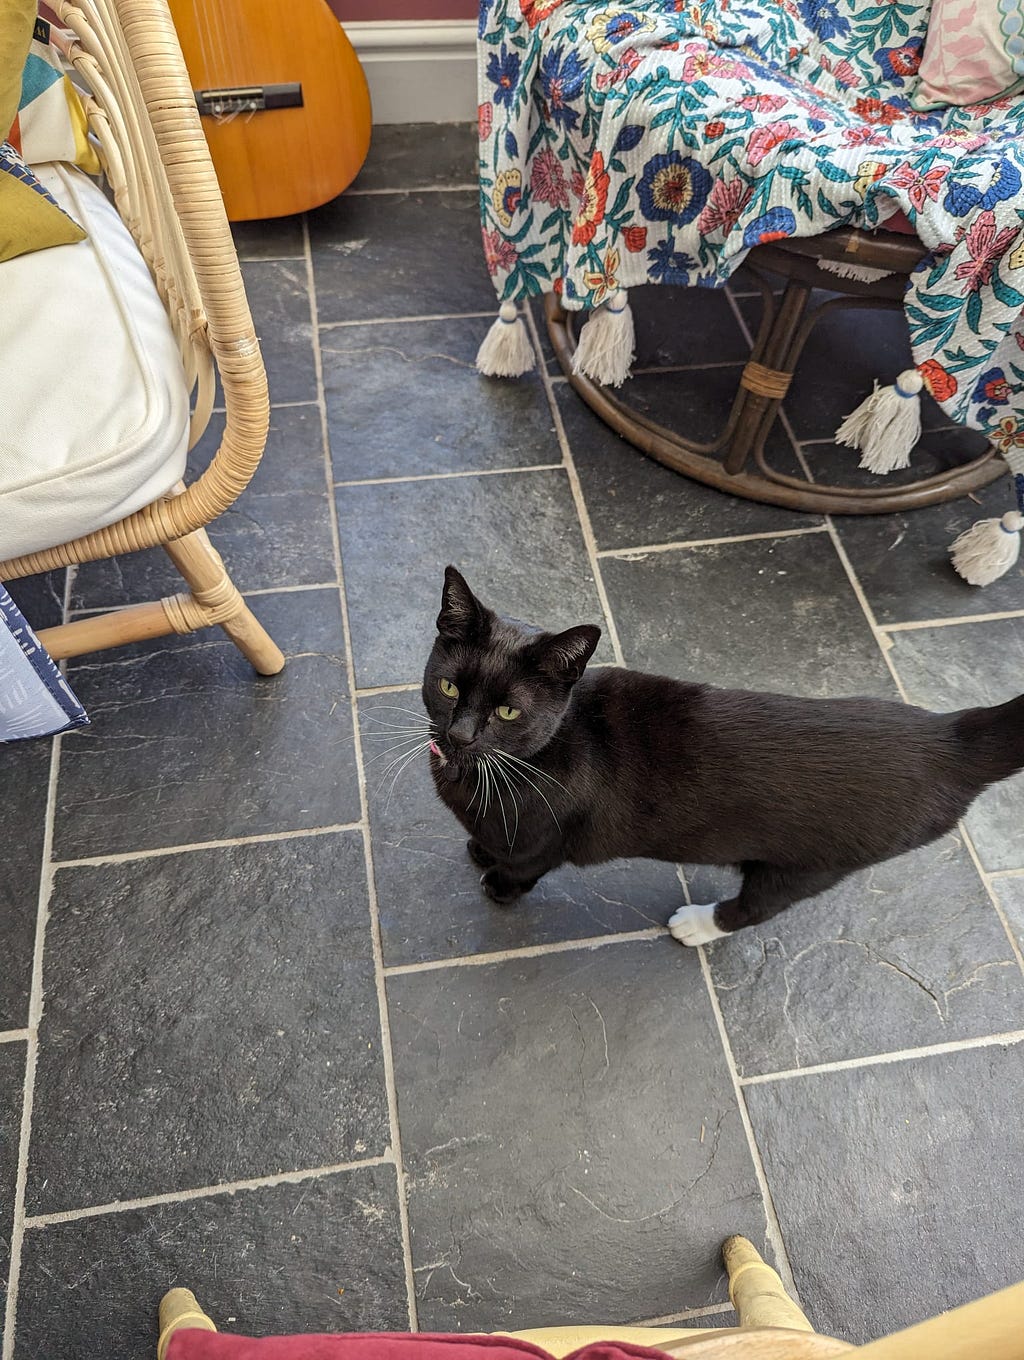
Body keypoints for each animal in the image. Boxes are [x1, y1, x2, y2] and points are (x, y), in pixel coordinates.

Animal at [421, 565, 1022, 946]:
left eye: (508, 712)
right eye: (449, 687)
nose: (461, 734)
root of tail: (950, 735)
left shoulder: (543, 841)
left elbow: (522, 867)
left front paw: (497, 883)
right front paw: (480, 849)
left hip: (815, 859)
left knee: (760, 905)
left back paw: (697, 924)